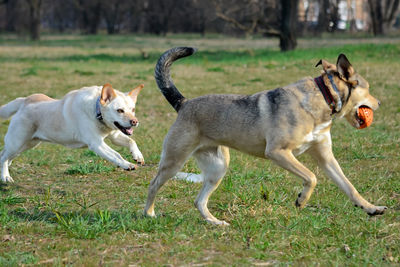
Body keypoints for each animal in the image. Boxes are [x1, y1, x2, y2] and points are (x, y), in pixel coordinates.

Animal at [0, 84, 144, 184]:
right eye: (119, 110)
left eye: (133, 109)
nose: (135, 121)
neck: (96, 111)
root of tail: (24, 101)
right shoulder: (96, 143)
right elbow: (116, 154)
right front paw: (127, 165)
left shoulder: (114, 137)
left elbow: (132, 141)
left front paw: (137, 156)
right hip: (17, 143)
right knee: (4, 156)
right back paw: (5, 177)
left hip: (28, 144)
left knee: (6, 156)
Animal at [145, 46, 386, 226]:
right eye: (368, 89)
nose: (380, 103)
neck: (324, 96)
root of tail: (183, 103)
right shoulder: (278, 152)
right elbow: (311, 176)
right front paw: (301, 200)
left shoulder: (326, 158)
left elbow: (349, 186)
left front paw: (371, 208)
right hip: (175, 161)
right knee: (154, 184)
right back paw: (149, 213)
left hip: (217, 167)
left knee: (199, 201)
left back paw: (214, 222)